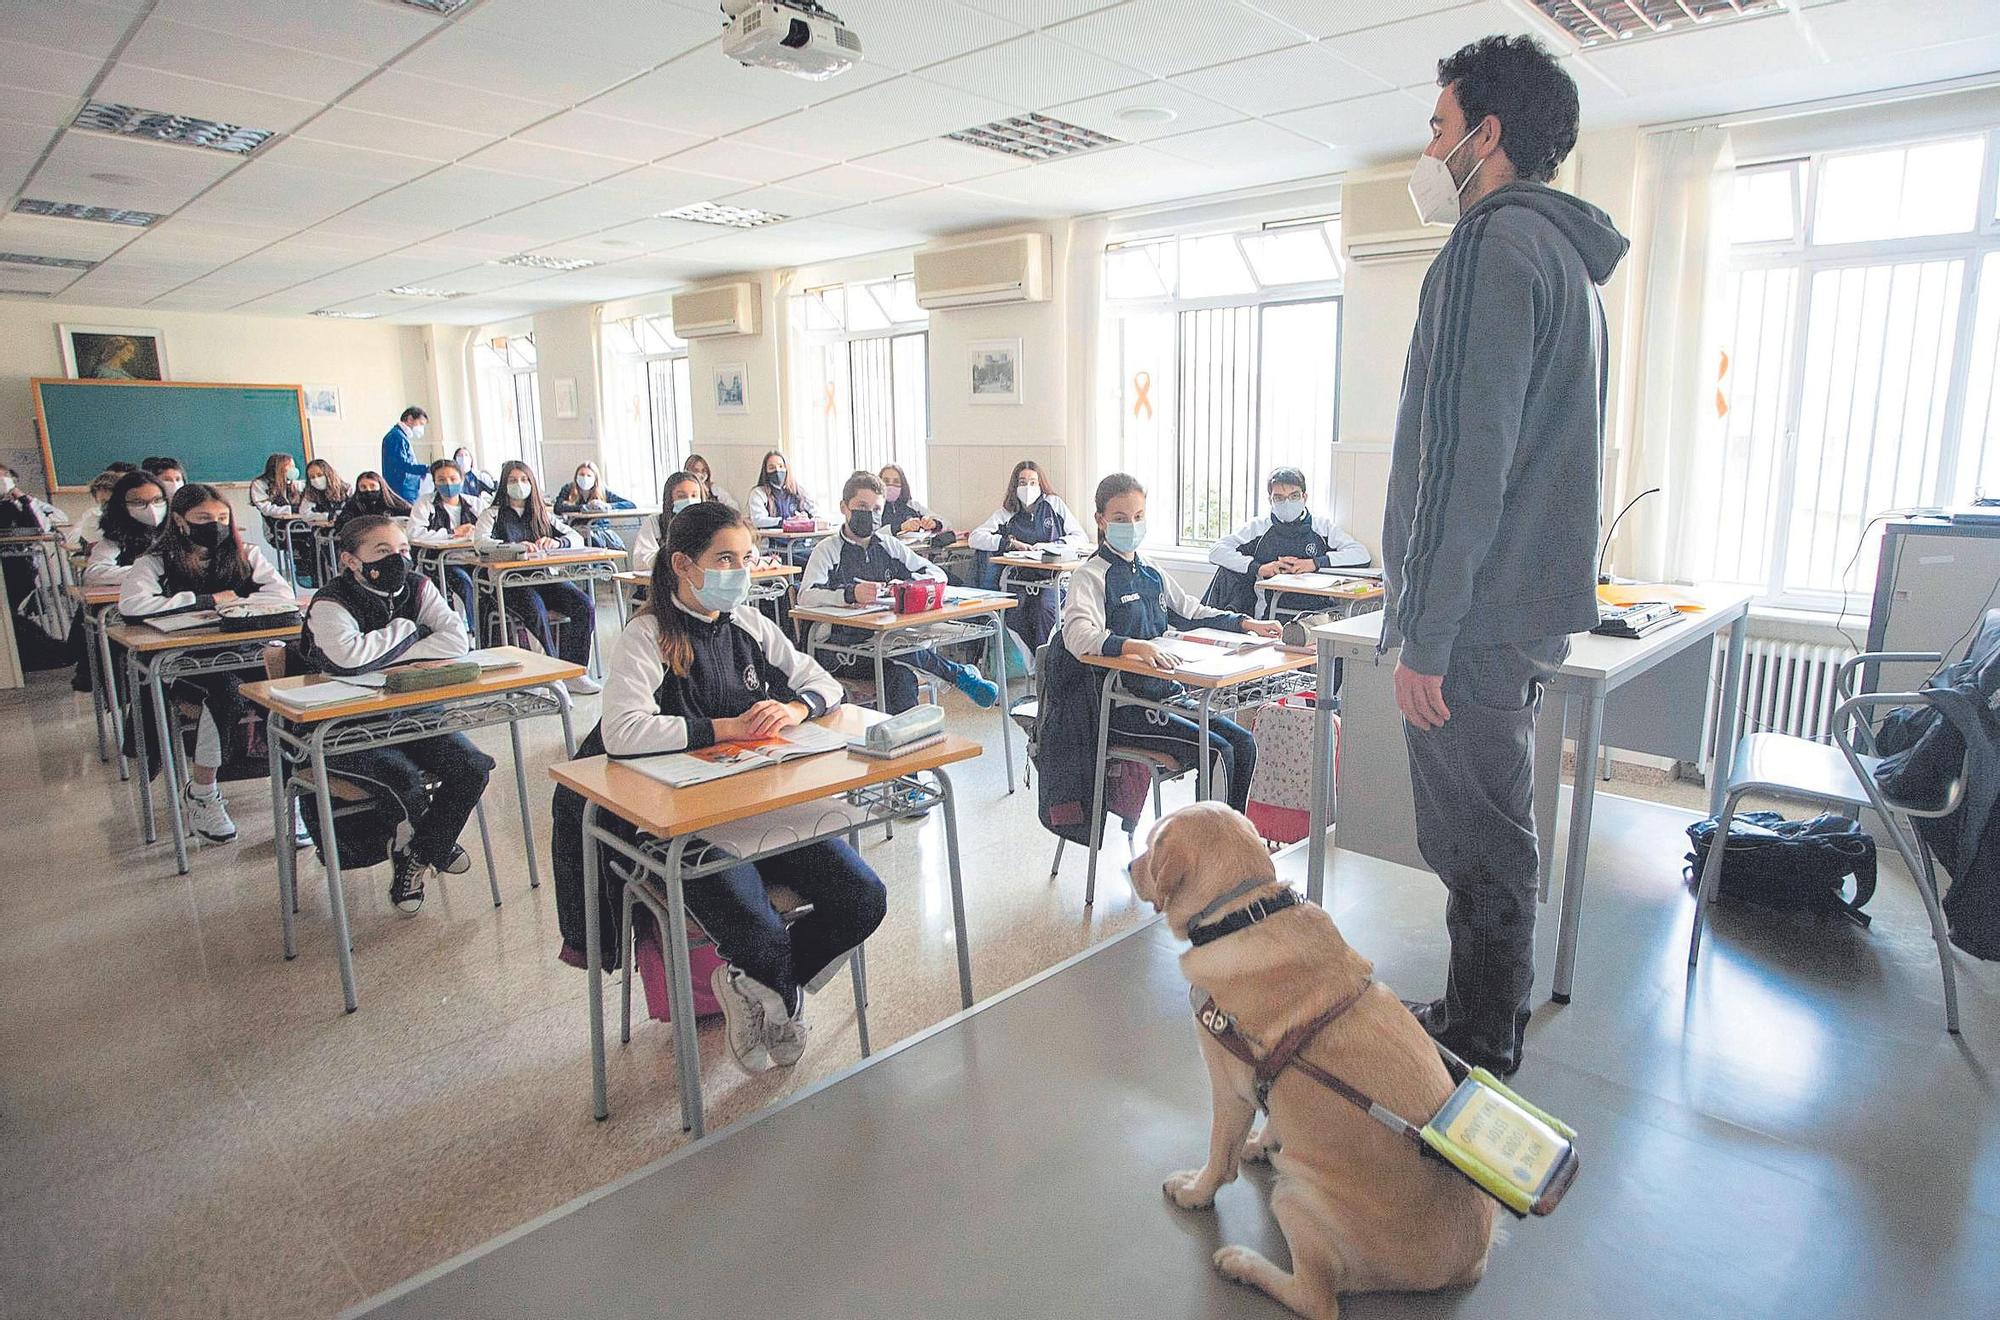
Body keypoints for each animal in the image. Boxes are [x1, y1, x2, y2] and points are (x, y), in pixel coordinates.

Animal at [1136, 800, 1496, 1312]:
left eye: (1149, 848)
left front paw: (1195, 1191)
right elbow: (1272, 1115)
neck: (1245, 913)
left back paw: (1244, 1264)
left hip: (1295, 1194)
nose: (1127, 866)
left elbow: (1218, 1159)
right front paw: (1263, 1141)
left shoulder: (1228, 1091)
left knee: (1317, 1301)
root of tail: (1469, 1263)